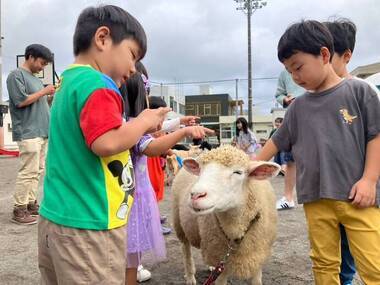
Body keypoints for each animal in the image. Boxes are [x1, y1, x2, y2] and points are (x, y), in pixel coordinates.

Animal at [171, 145, 280, 282]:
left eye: (238, 172)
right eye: (200, 170)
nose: (196, 195)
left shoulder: (256, 260)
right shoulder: (221, 265)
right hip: (179, 226)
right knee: (186, 252)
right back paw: (190, 278)